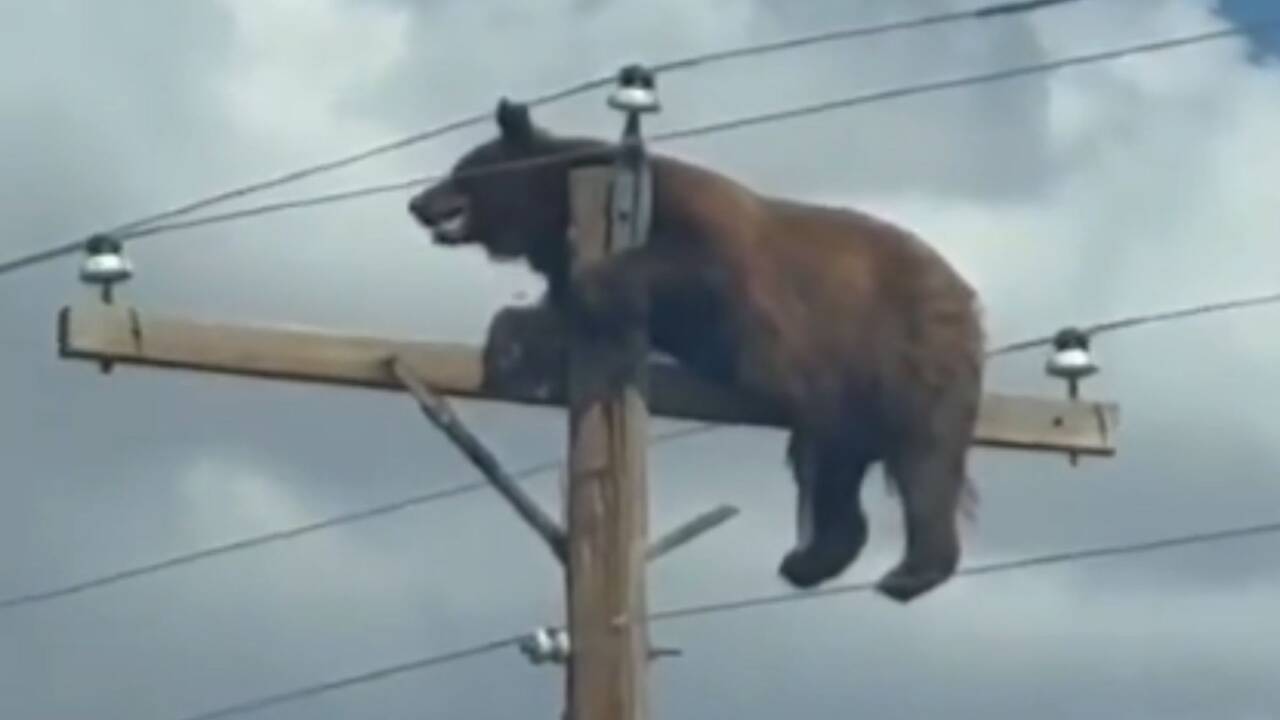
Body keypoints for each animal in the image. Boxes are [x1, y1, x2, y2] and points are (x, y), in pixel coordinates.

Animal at [408, 98, 985, 603]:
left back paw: (911, 570)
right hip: (840, 387)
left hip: (906, 345)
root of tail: (964, 291)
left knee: (924, 454)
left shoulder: (697, 228)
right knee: (830, 463)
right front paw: (507, 347)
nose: (417, 203)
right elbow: (557, 315)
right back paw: (810, 559)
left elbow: (688, 268)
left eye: (461, 168)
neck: (557, 209)